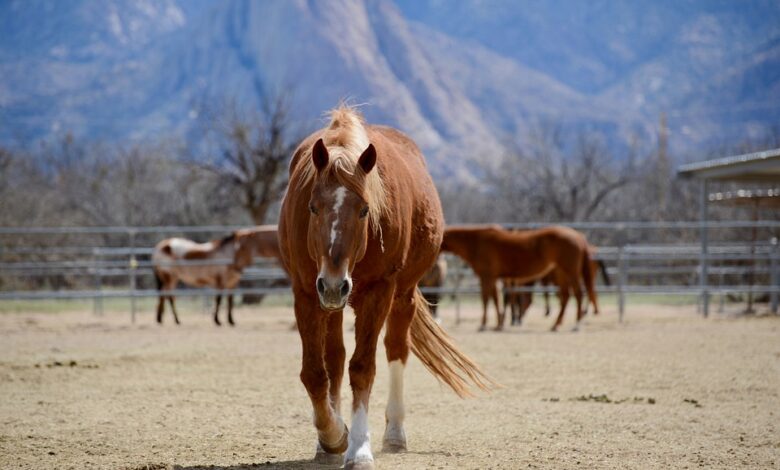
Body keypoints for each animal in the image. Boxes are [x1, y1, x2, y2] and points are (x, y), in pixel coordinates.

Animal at [151, 226, 282, 324]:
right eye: (239, 247)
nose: (237, 267)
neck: (225, 254)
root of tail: (161, 246)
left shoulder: (232, 283)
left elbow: (230, 300)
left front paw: (231, 320)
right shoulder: (220, 281)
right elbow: (218, 299)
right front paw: (217, 320)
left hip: (170, 278)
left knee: (163, 296)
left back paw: (160, 319)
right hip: (169, 276)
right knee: (169, 296)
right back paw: (176, 320)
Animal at [278, 107, 490, 470]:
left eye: (365, 209)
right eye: (312, 207)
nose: (333, 284)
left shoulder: (378, 292)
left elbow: (363, 368)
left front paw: (359, 448)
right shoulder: (306, 292)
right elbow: (315, 373)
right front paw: (333, 435)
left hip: (401, 296)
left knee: (396, 350)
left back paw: (394, 433)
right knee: (335, 358)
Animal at [442, 226, 596, 332]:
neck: (477, 242)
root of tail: (579, 236)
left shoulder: (487, 277)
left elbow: (486, 300)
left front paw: (484, 325)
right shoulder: (495, 279)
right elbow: (496, 300)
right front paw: (498, 325)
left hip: (570, 272)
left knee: (578, 294)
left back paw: (576, 325)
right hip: (561, 273)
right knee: (566, 297)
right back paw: (556, 325)